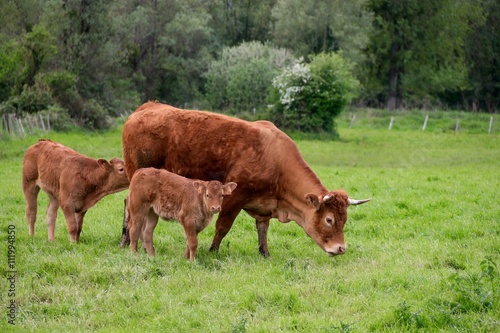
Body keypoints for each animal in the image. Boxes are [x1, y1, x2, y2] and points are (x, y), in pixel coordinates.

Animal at [122, 101, 370, 256]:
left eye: (344, 220)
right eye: (329, 219)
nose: (341, 249)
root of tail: (146, 107)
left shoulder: (265, 206)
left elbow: (263, 229)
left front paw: (265, 253)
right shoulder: (233, 197)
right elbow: (222, 227)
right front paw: (212, 251)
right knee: (132, 211)